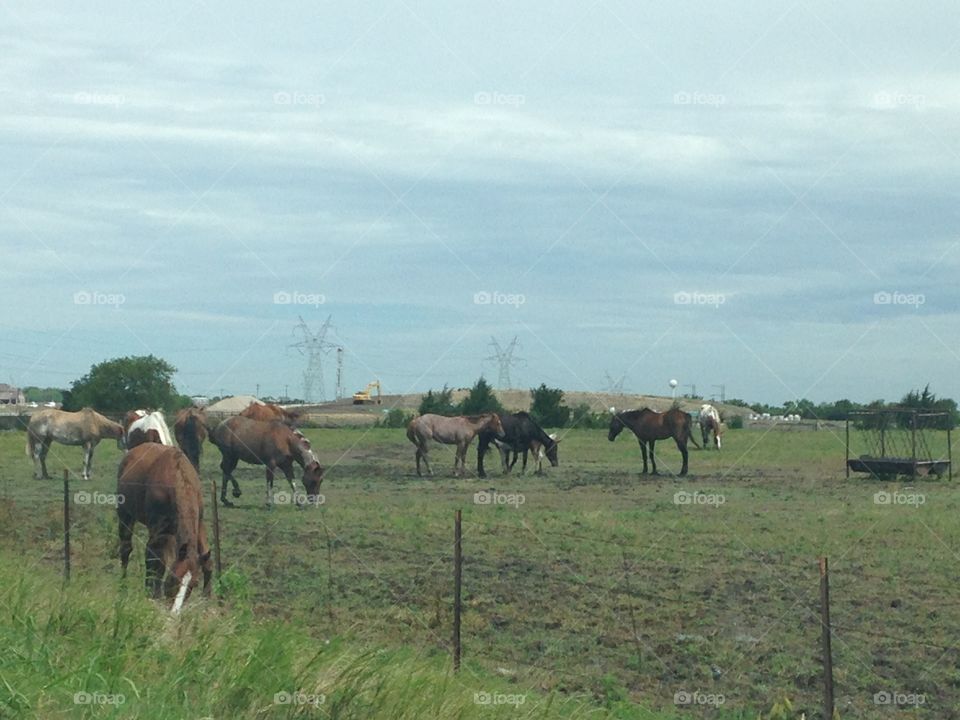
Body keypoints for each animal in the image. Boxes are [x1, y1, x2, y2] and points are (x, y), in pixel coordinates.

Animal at [116, 444, 212, 600]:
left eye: (194, 583)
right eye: (175, 579)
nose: (176, 603)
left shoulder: (199, 523)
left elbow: (207, 558)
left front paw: (207, 595)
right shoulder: (158, 529)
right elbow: (156, 560)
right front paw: (154, 593)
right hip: (125, 515)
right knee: (126, 549)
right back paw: (123, 584)